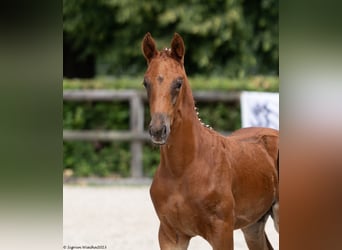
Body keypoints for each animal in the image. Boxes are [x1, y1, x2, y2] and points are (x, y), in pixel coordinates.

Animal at [142, 33, 278, 250]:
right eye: (146, 83)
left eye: (178, 82)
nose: (157, 130)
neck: (183, 169)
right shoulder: (170, 235)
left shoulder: (222, 232)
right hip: (253, 225)